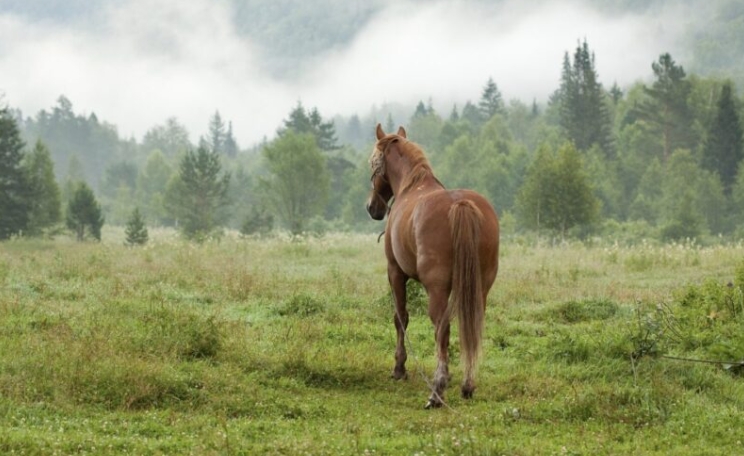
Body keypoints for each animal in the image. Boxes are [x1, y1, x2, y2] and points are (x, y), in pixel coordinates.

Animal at [366, 124, 500, 409]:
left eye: (373, 162)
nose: (372, 207)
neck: (412, 186)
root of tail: (461, 204)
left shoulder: (395, 272)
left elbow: (400, 317)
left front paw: (399, 368)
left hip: (437, 290)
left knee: (442, 328)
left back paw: (437, 390)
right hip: (480, 288)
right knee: (471, 328)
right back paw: (467, 384)